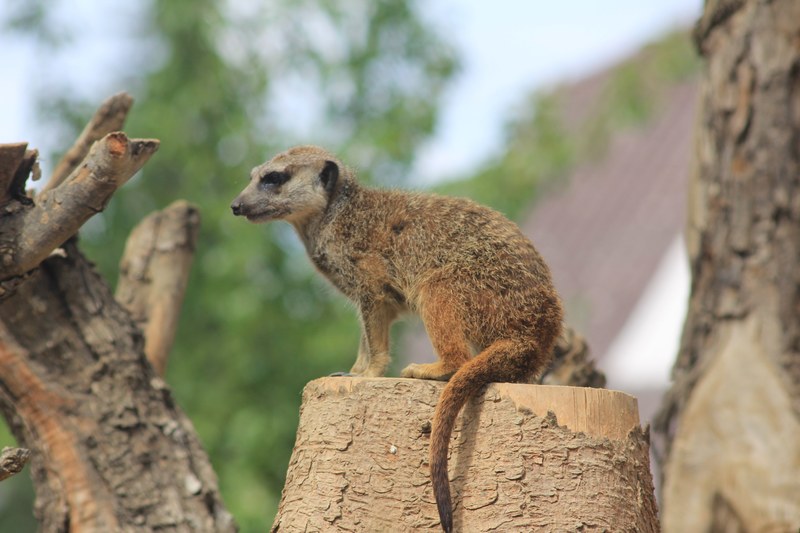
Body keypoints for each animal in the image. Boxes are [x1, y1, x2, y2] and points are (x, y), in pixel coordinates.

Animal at [231, 145, 563, 533]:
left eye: (274, 178)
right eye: (253, 176)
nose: (236, 205)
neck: (336, 218)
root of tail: (537, 334)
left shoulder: (369, 276)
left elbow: (375, 327)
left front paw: (368, 373)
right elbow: (366, 334)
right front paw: (353, 369)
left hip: (461, 285)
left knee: (449, 326)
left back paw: (432, 368)